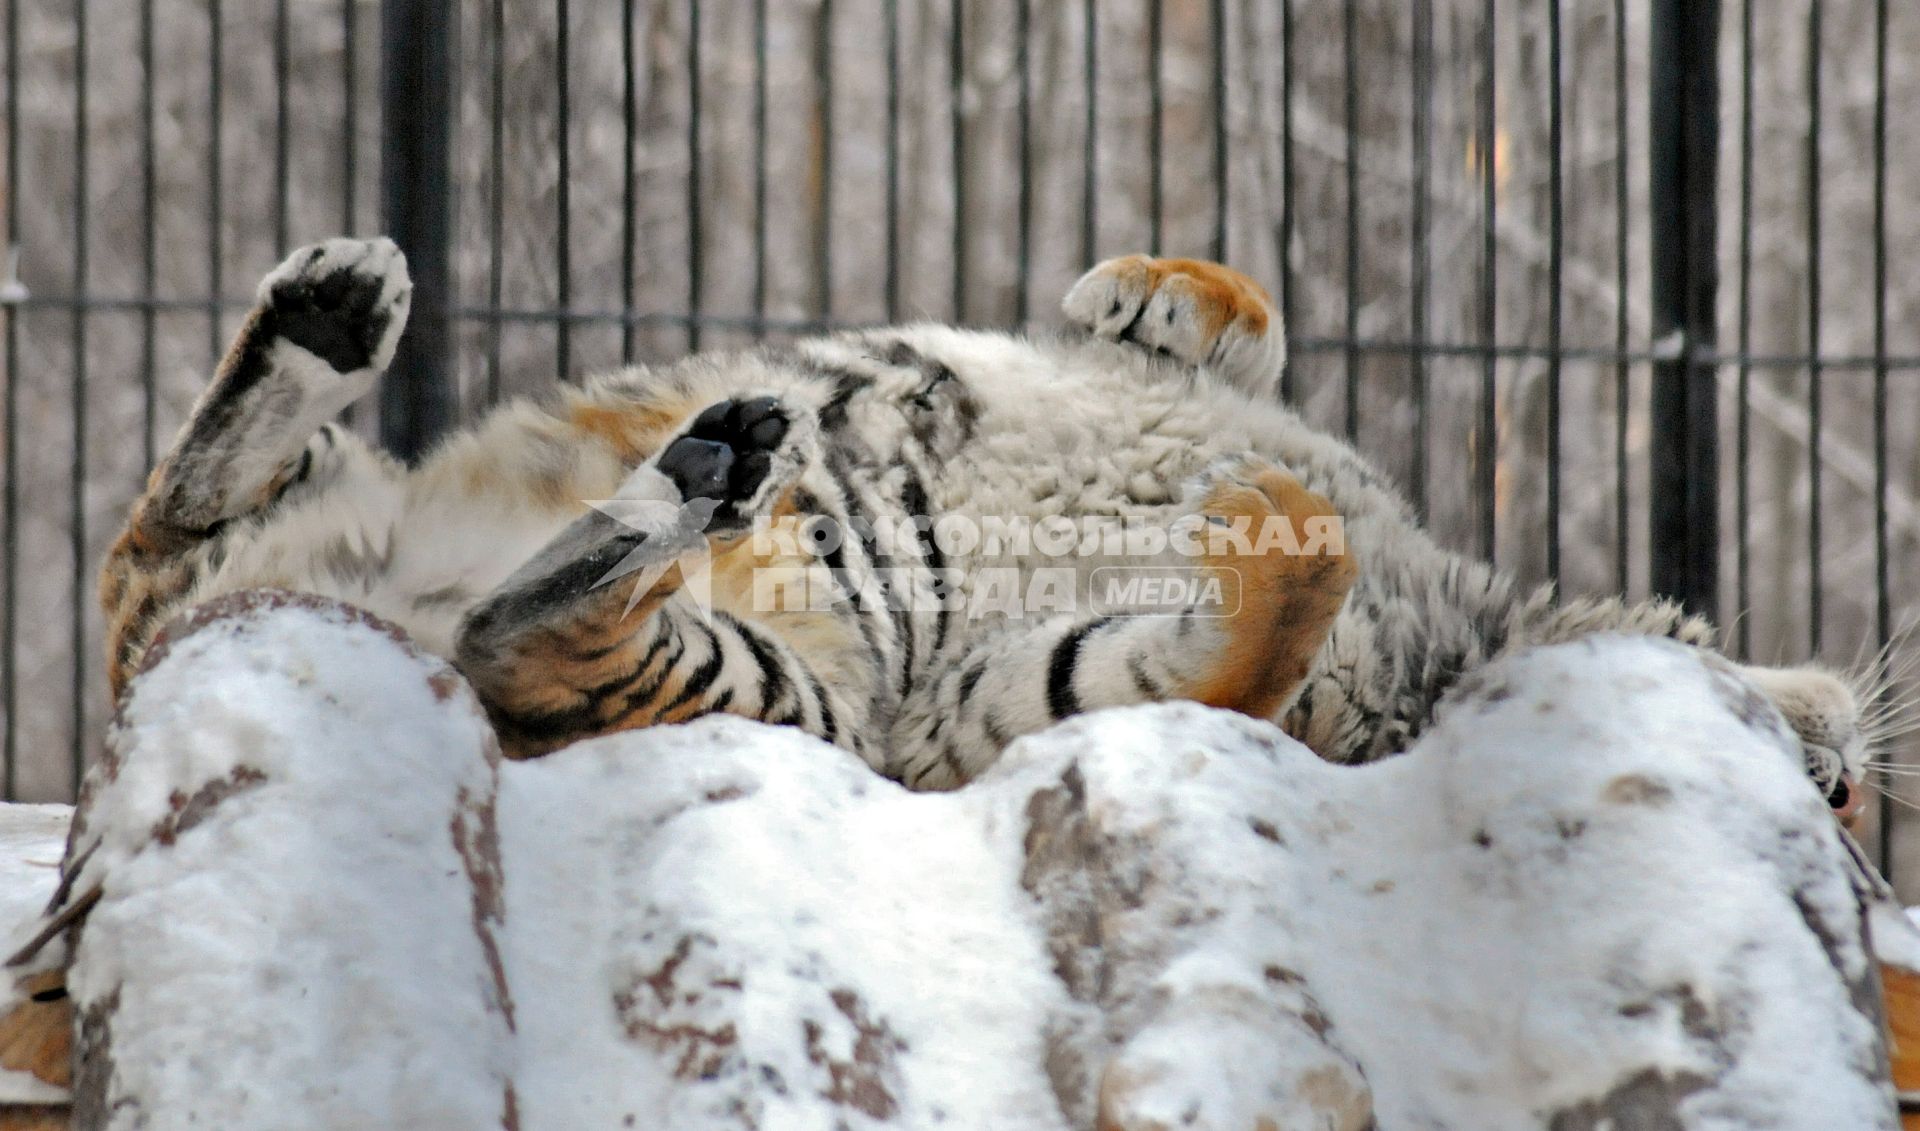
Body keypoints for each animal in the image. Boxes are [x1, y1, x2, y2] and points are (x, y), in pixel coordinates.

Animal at [97, 236, 1866, 810]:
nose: (1850, 776)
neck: (1459, 632)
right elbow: (1237, 329)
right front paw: (1160, 297)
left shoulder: (974, 706)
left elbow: (1214, 650)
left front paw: (1278, 528)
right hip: (294, 519)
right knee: (159, 521)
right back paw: (331, 315)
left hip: (769, 690)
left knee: (519, 640)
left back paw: (693, 484)